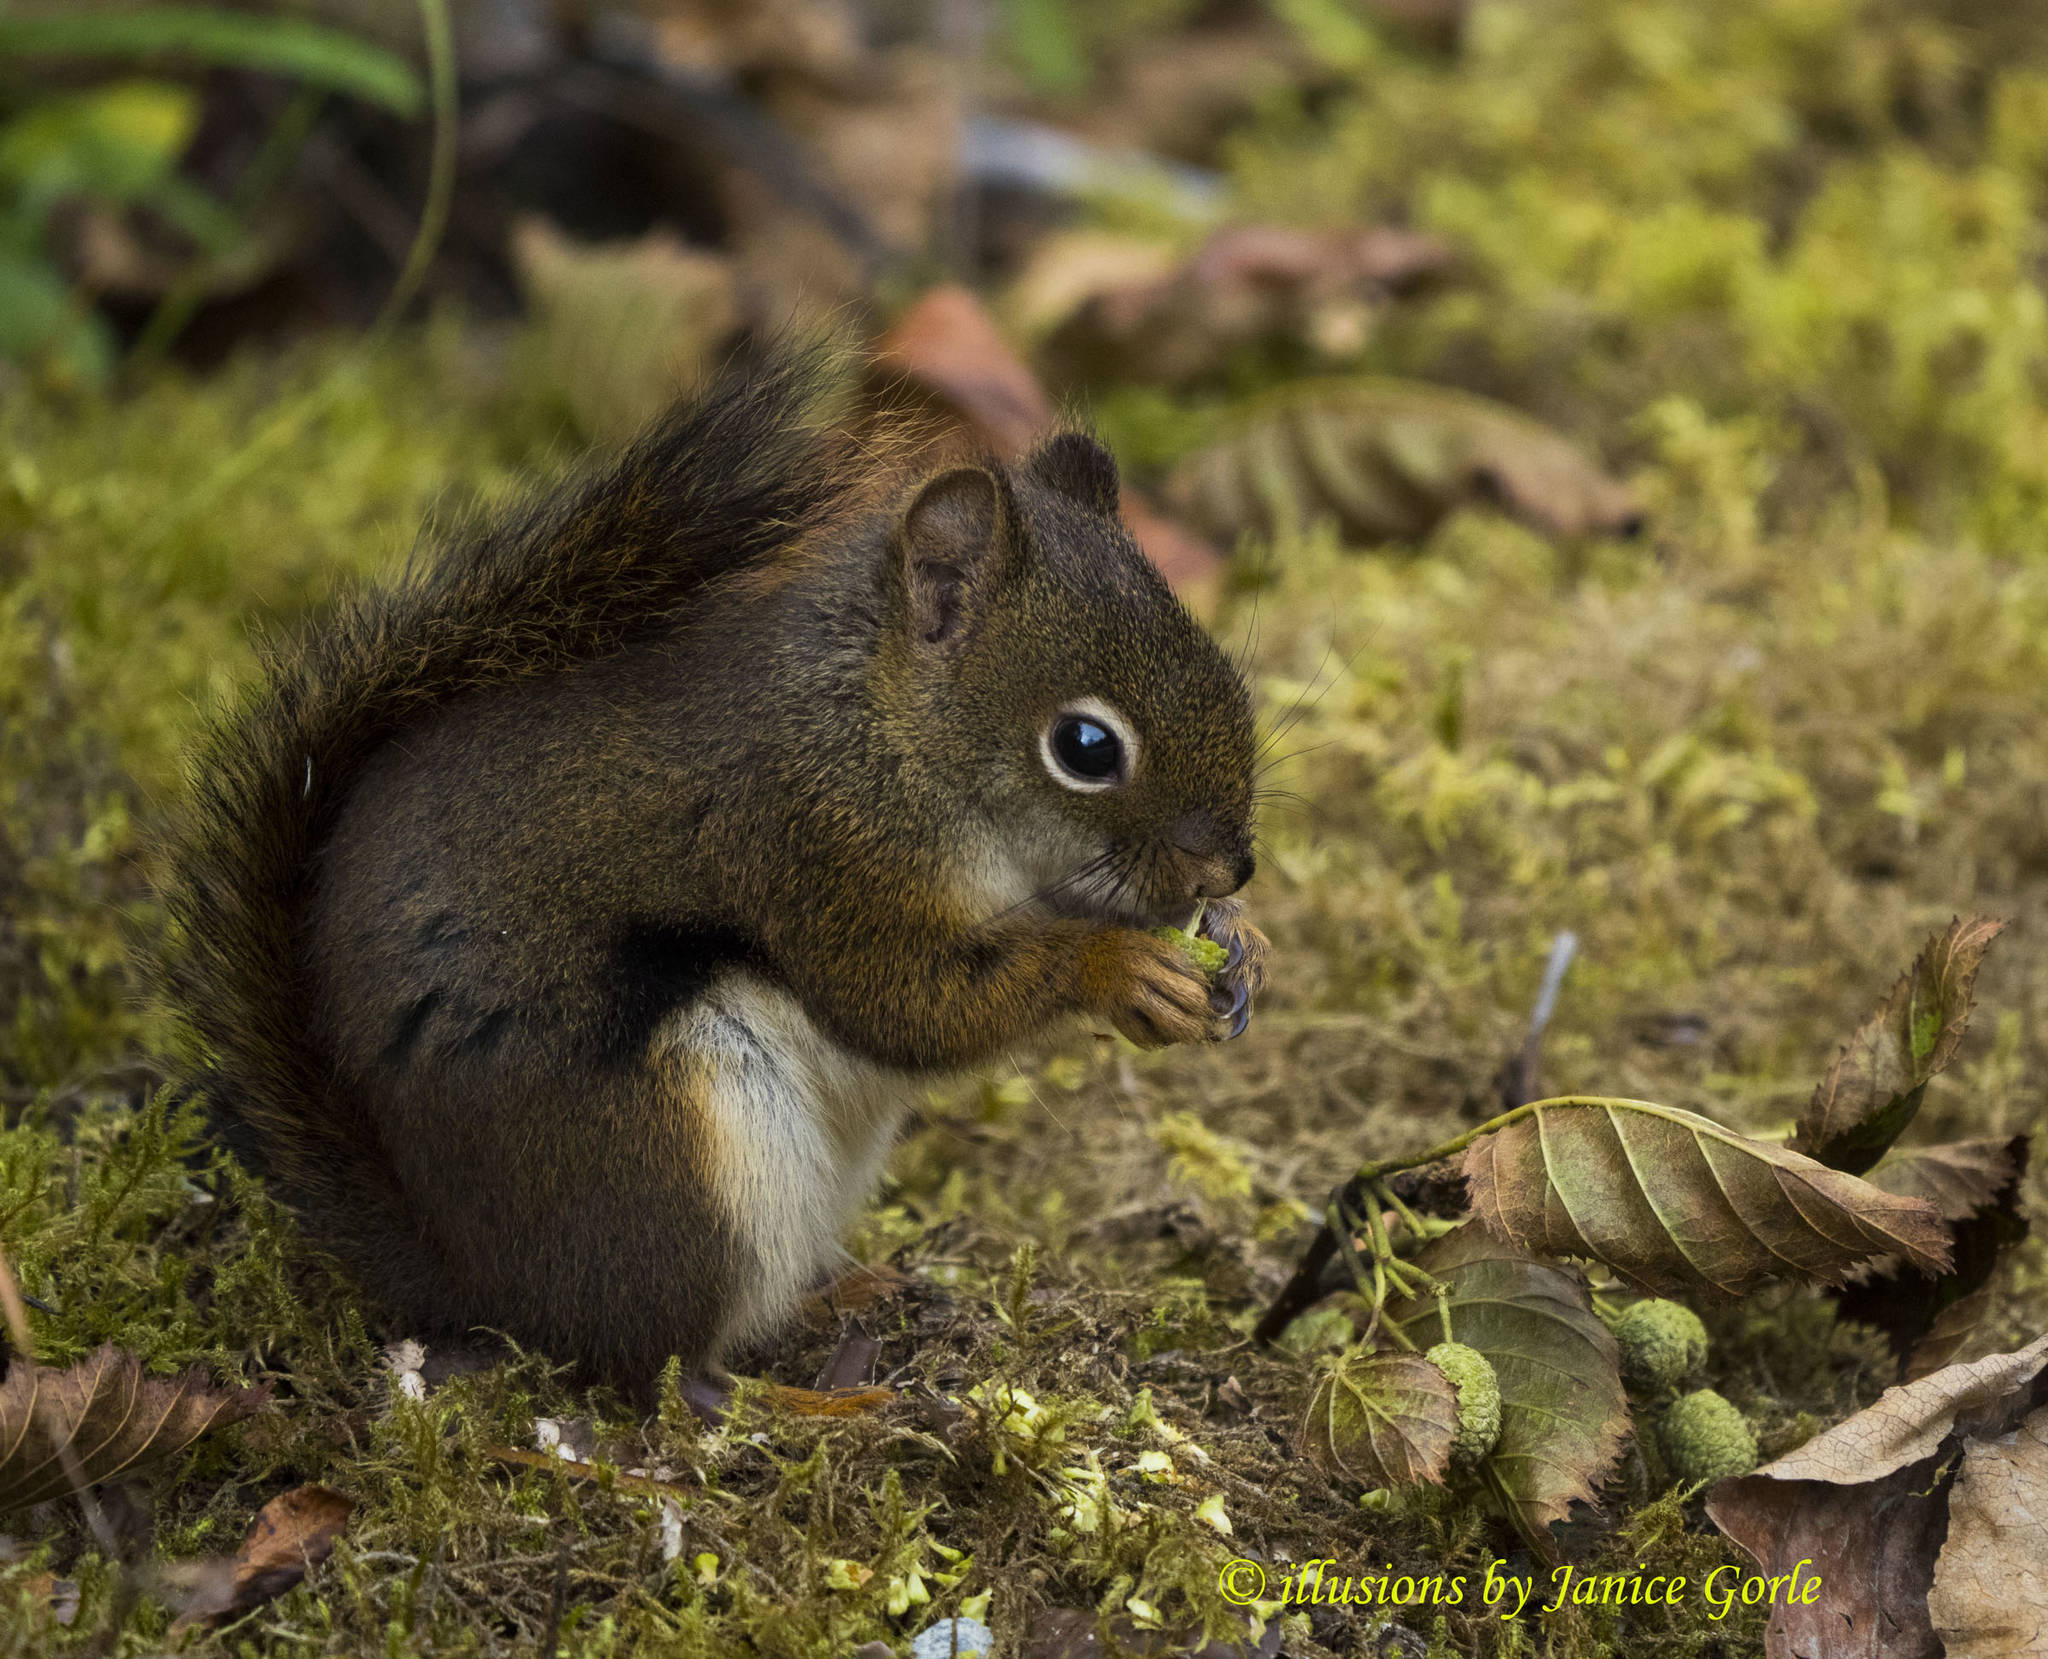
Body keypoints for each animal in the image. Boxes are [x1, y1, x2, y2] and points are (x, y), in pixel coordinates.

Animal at [159, 348, 1269, 1384]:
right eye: (1085, 747)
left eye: (1225, 668)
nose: (1229, 871)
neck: (880, 728)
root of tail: (474, 1286)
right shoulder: (814, 846)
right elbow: (906, 1005)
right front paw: (1117, 968)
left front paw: (1239, 947)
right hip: (684, 1147)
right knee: (654, 1351)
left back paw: (855, 1292)